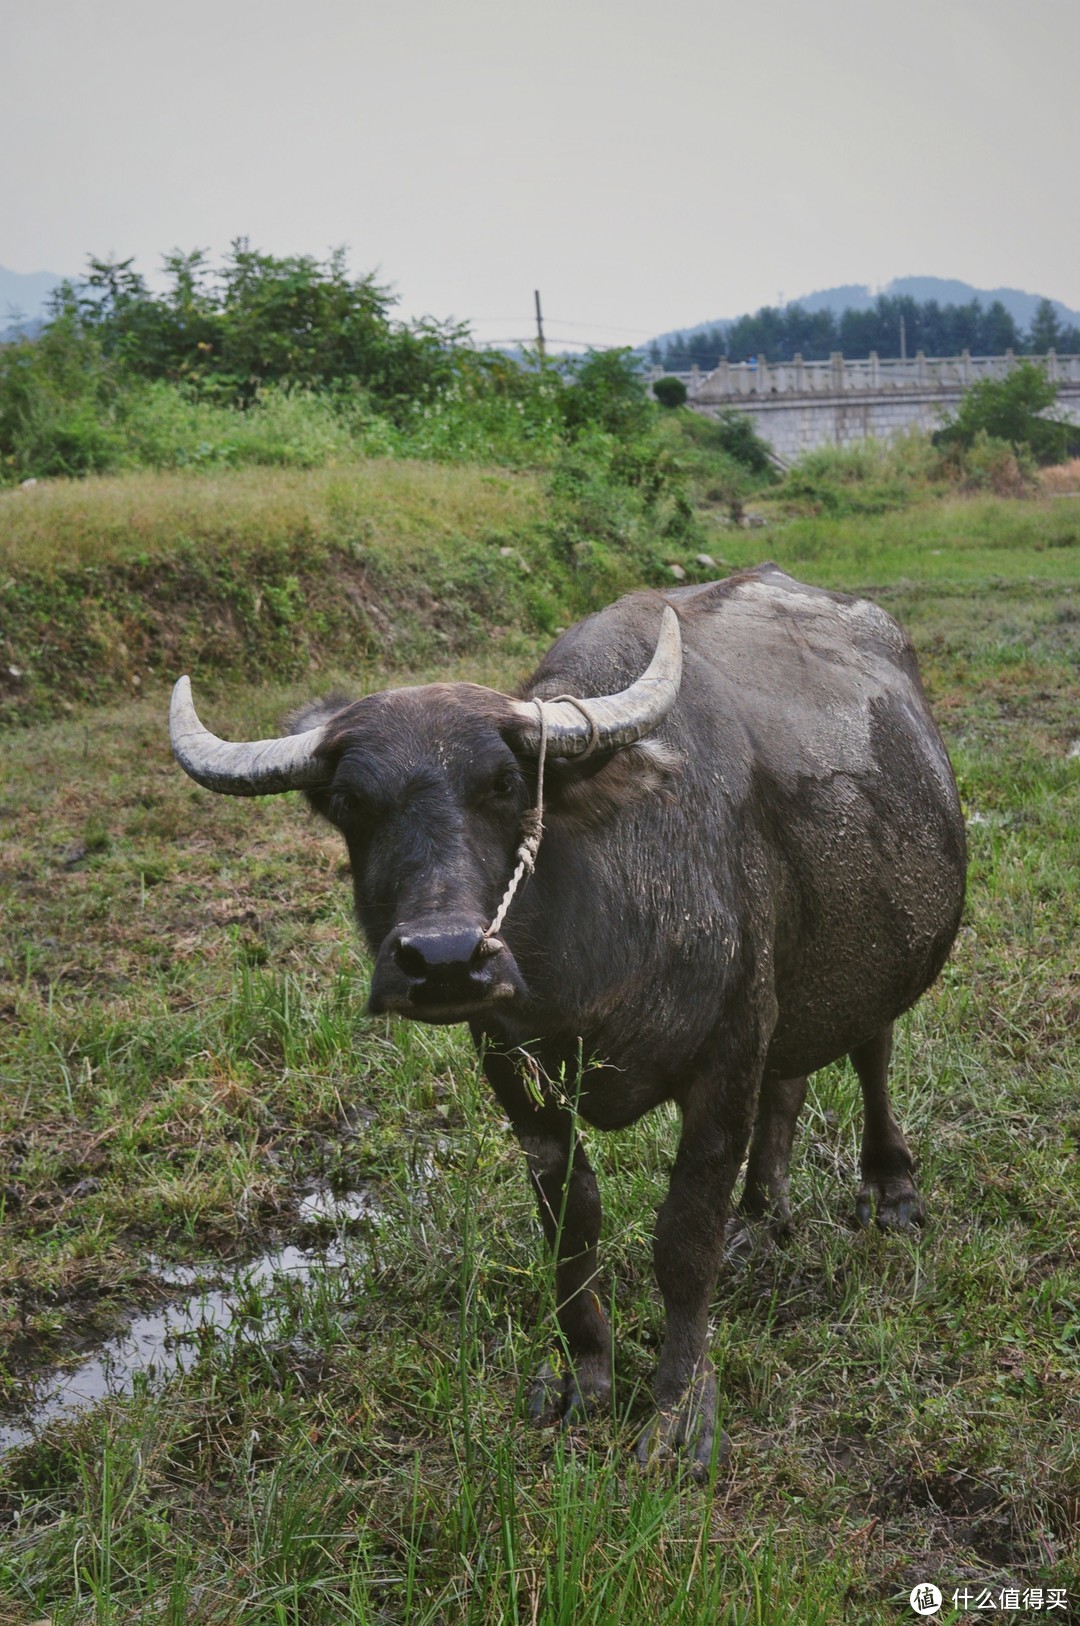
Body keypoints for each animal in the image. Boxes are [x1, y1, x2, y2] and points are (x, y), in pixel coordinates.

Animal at [173, 565, 962, 1469]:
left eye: (506, 785)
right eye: (347, 799)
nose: (444, 959)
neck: (598, 936)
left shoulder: (724, 1056)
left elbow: (684, 1236)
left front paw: (678, 1406)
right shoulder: (514, 1072)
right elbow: (571, 1224)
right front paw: (586, 1375)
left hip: (881, 954)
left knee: (873, 1053)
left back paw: (890, 1189)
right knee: (789, 1086)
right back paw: (763, 1220)